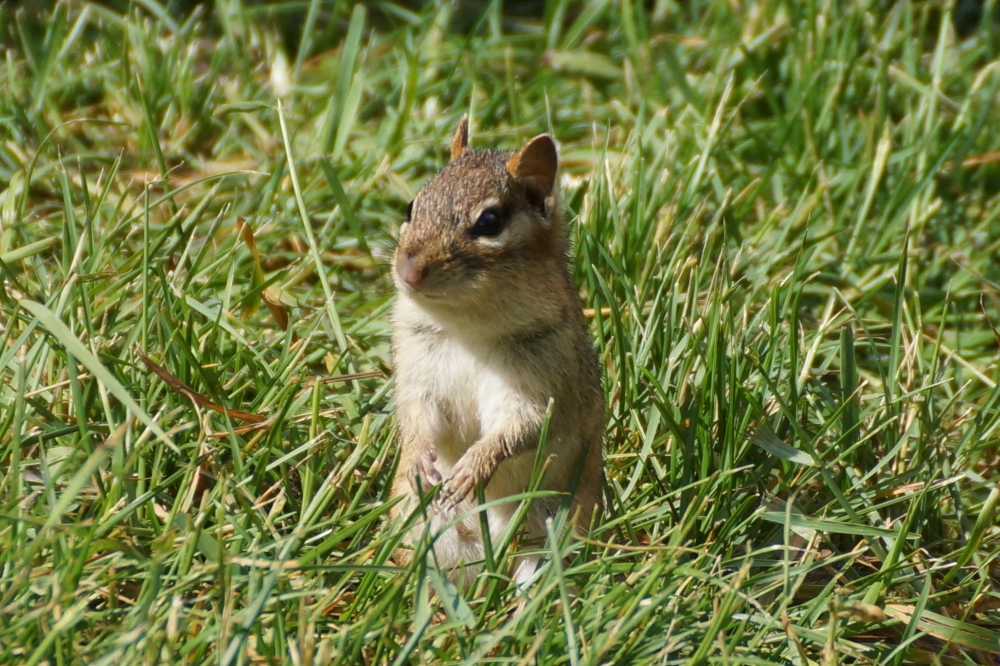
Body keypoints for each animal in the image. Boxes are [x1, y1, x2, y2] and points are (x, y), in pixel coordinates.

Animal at [389, 117, 605, 587]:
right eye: (411, 207)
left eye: (489, 222)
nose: (408, 271)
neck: (466, 324)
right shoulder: (418, 368)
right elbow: (416, 416)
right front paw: (416, 461)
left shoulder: (542, 378)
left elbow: (521, 427)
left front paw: (473, 466)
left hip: (552, 528)